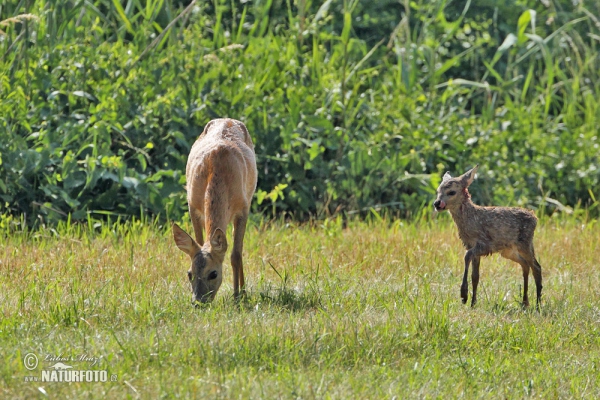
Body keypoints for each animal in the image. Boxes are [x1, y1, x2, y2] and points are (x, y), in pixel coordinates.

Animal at [173, 118, 258, 304]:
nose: (198, 301)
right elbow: (198, 240)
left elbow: (235, 255)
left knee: (238, 249)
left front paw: (237, 297)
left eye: (213, 274)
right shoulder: (192, 205)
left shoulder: (243, 208)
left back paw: (244, 293)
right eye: (189, 274)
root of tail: (227, 119)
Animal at [434, 166, 540, 310]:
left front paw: (464, 295)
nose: (437, 203)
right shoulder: (471, 245)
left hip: (524, 243)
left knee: (536, 267)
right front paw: (473, 303)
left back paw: (538, 304)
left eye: (451, 192)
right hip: (509, 251)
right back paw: (525, 302)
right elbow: (475, 276)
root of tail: (535, 217)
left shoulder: (485, 244)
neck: (471, 219)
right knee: (526, 265)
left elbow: (466, 256)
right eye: (438, 191)